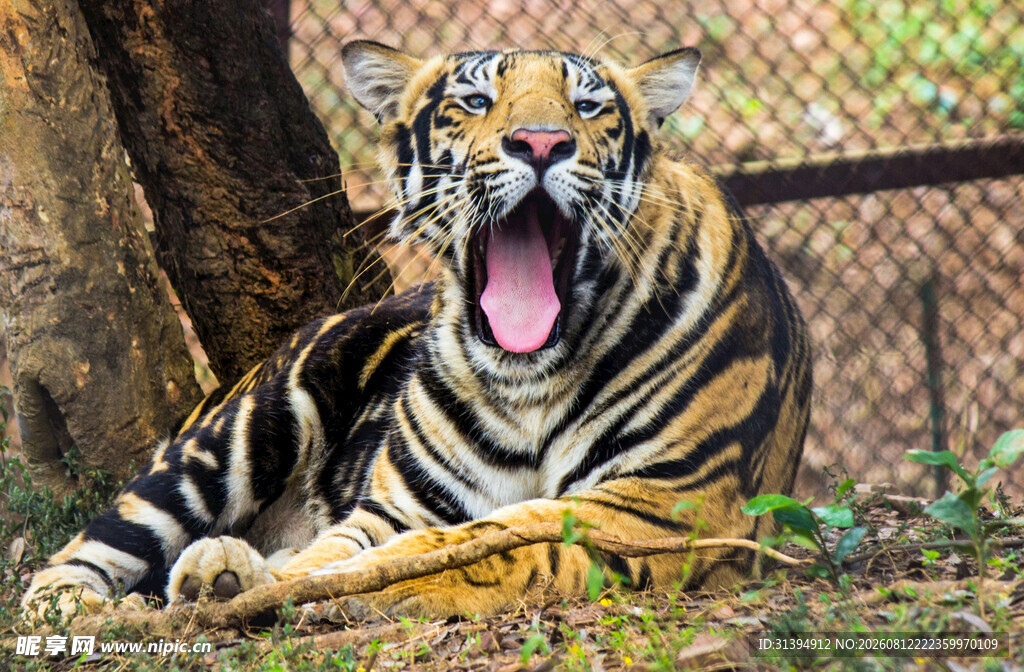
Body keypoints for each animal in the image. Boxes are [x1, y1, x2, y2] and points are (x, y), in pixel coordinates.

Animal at [23, 41, 812, 620]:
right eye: (476, 101)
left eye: (588, 108)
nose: (541, 143)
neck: (531, 379)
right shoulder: (400, 505)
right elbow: (367, 546)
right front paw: (269, 584)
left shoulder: (657, 507)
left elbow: (486, 545)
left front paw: (280, 587)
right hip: (247, 429)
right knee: (79, 552)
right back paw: (84, 607)